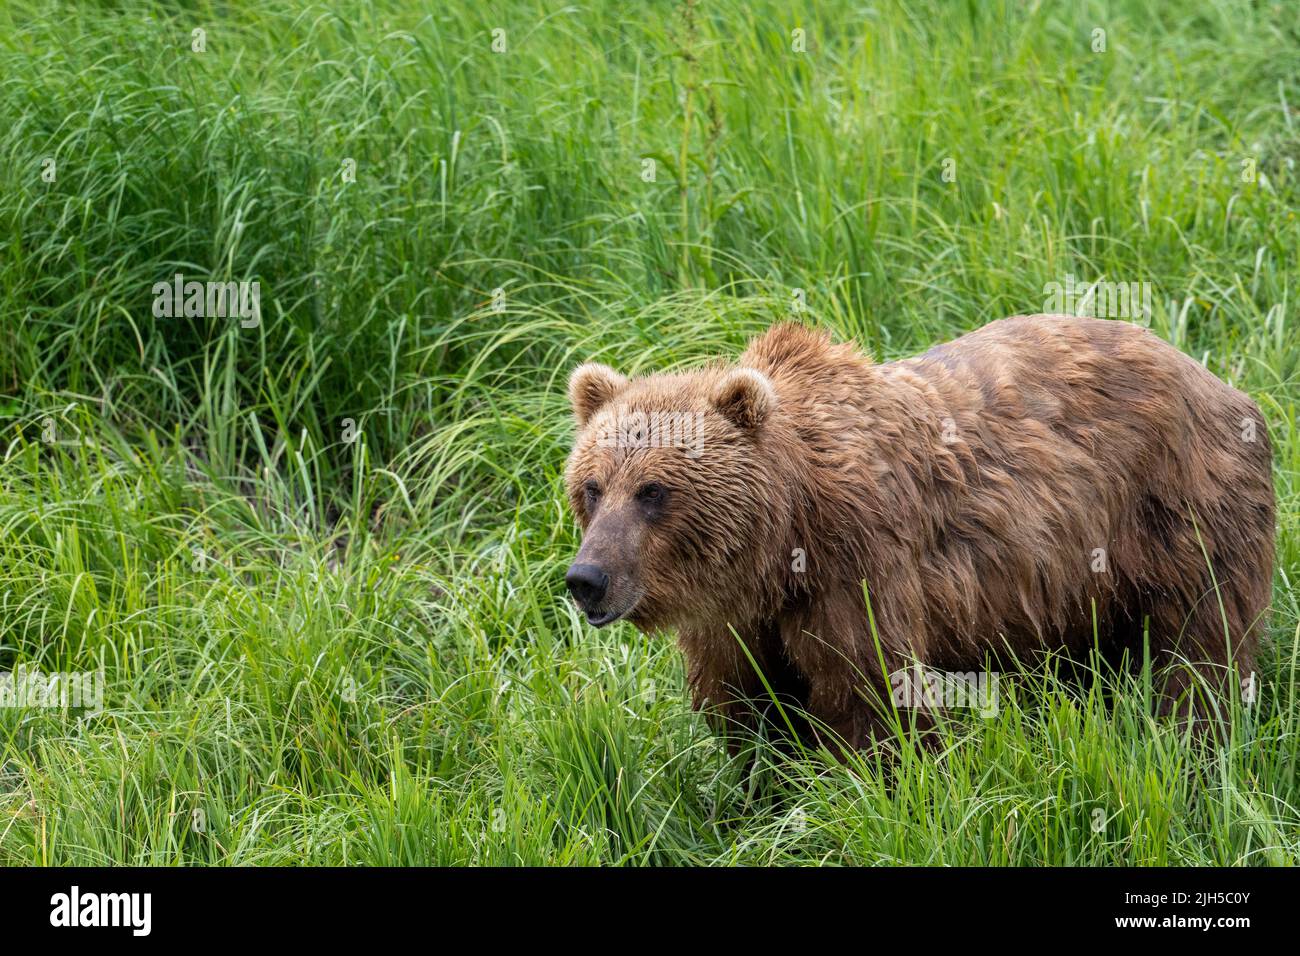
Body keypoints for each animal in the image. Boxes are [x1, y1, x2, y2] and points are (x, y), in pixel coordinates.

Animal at [564, 317, 1274, 749]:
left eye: (654, 491)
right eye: (592, 487)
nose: (586, 578)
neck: (778, 547)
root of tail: (1217, 380)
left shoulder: (861, 569)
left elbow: (873, 702)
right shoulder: (734, 623)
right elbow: (746, 714)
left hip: (1178, 515)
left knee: (1200, 647)